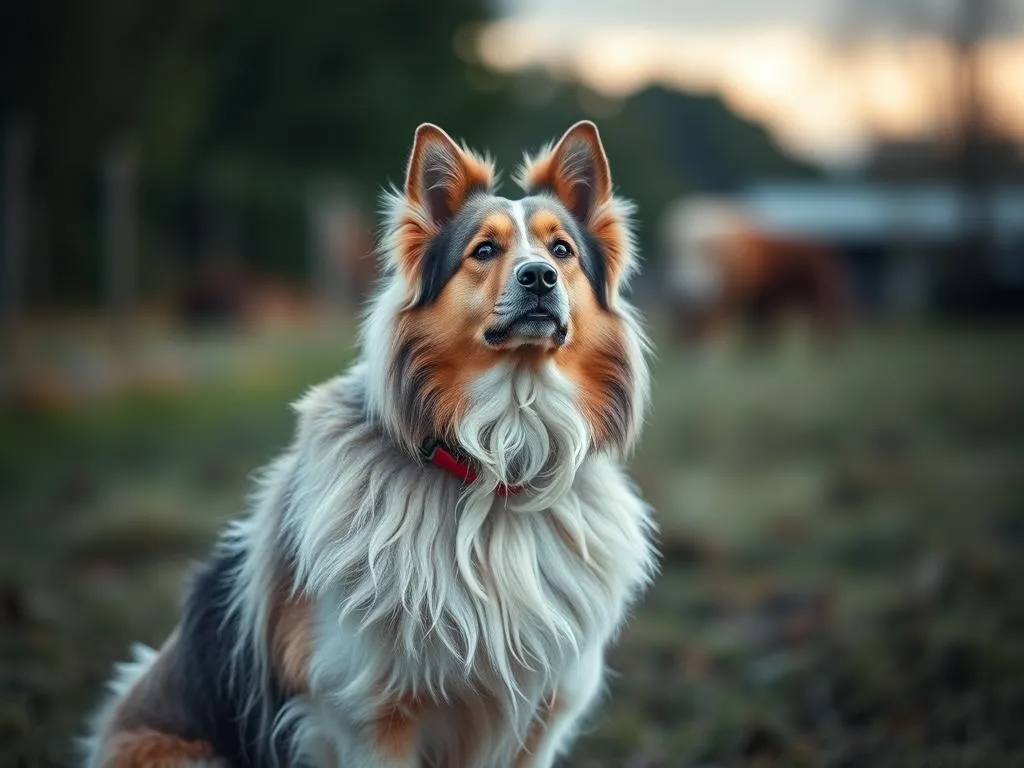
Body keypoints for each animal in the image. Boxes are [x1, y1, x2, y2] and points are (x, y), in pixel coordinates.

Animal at [81, 121, 655, 768]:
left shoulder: (543, 716)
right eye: (484, 250)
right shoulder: (371, 713)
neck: (499, 456)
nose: (539, 277)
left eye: (562, 251)